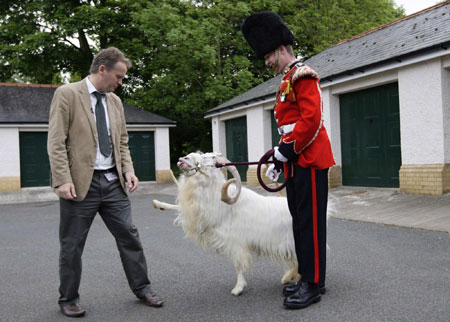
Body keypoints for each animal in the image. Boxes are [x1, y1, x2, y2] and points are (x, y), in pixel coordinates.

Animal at [153, 152, 300, 296]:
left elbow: (238, 265)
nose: (183, 159)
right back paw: (289, 277)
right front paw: (158, 204)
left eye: (210, 158)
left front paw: (238, 289)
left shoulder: (236, 242)